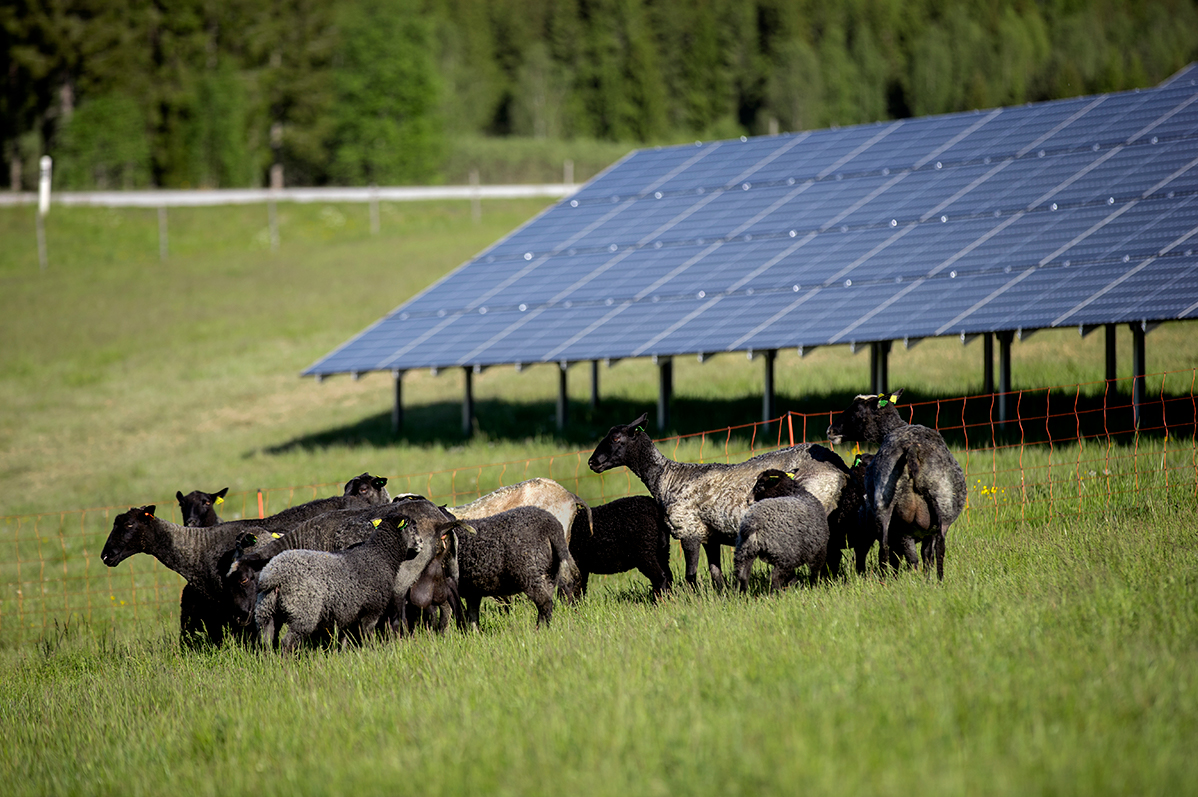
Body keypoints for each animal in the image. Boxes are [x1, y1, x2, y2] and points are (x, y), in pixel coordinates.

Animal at [252, 512, 431, 651]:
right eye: (413, 528)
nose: (421, 543)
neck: (380, 555)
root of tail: (275, 574)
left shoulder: (348, 614)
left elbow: (345, 640)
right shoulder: (372, 609)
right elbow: (368, 634)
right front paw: (372, 651)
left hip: (266, 612)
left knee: (266, 642)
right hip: (303, 612)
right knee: (287, 643)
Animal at [584, 412, 848, 587]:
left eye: (616, 439)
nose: (592, 462)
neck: (666, 477)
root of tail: (838, 466)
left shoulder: (688, 529)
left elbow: (691, 575)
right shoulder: (709, 536)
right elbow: (715, 574)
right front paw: (721, 598)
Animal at [829, 385, 967, 577]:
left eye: (856, 410)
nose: (830, 431)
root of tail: (912, 449)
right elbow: (927, 555)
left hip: (888, 510)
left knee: (887, 550)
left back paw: (887, 579)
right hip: (943, 510)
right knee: (937, 551)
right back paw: (936, 580)